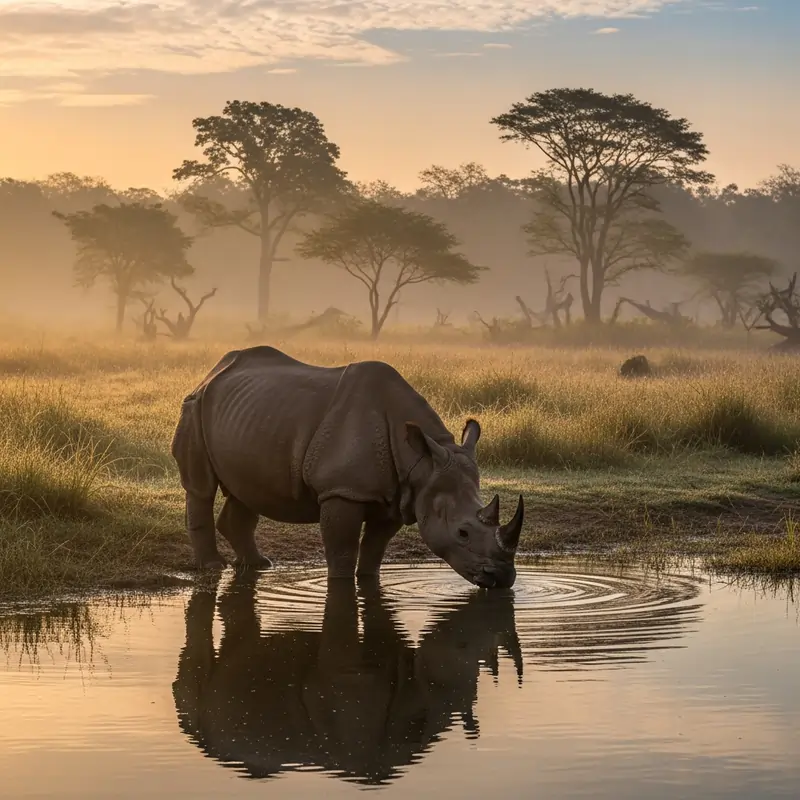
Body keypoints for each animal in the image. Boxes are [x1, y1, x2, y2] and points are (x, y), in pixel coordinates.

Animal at [171, 346, 524, 589]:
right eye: (462, 532)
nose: (503, 578)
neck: (422, 462)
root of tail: (213, 371)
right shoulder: (343, 490)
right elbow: (342, 549)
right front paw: (340, 584)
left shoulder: (398, 496)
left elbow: (375, 548)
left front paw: (367, 580)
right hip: (195, 405)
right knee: (201, 487)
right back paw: (213, 567)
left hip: (250, 415)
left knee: (246, 490)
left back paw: (259, 565)